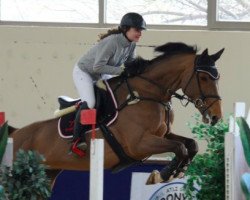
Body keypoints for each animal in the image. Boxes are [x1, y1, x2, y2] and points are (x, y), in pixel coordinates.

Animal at [6, 42, 224, 186]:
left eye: (217, 77)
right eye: (204, 78)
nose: (216, 116)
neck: (148, 93)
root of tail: (15, 133)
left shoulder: (164, 134)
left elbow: (190, 145)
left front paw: (176, 172)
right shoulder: (139, 144)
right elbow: (180, 148)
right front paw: (162, 175)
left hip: (48, 173)